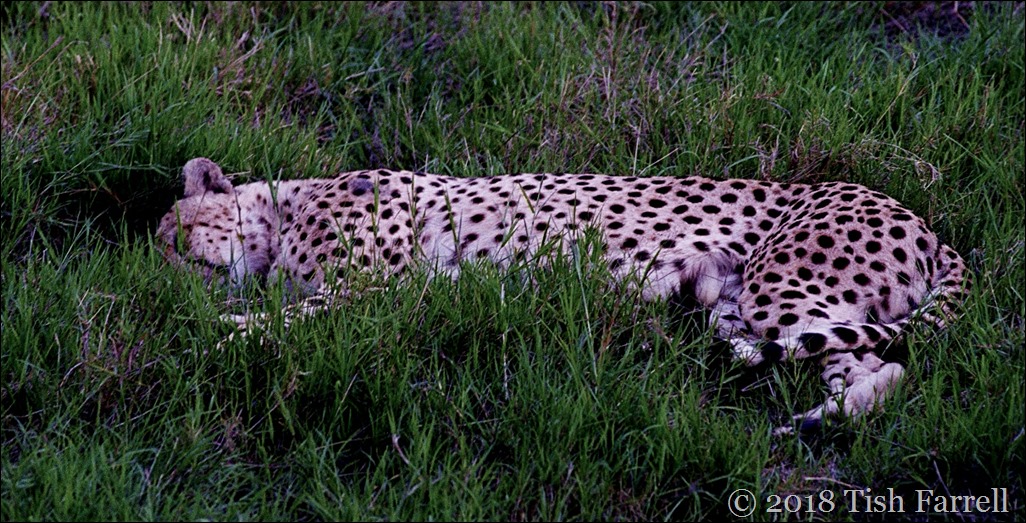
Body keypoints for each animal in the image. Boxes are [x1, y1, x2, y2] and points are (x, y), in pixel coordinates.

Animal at [157, 157, 970, 434]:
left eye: (170, 235)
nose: (160, 274)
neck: (285, 210)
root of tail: (924, 220)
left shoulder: (382, 290)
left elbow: (283, 318)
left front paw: (215, 334)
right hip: (768, 307)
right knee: (877, 366)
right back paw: (815, 424)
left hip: (781, 287)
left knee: (877, 359)